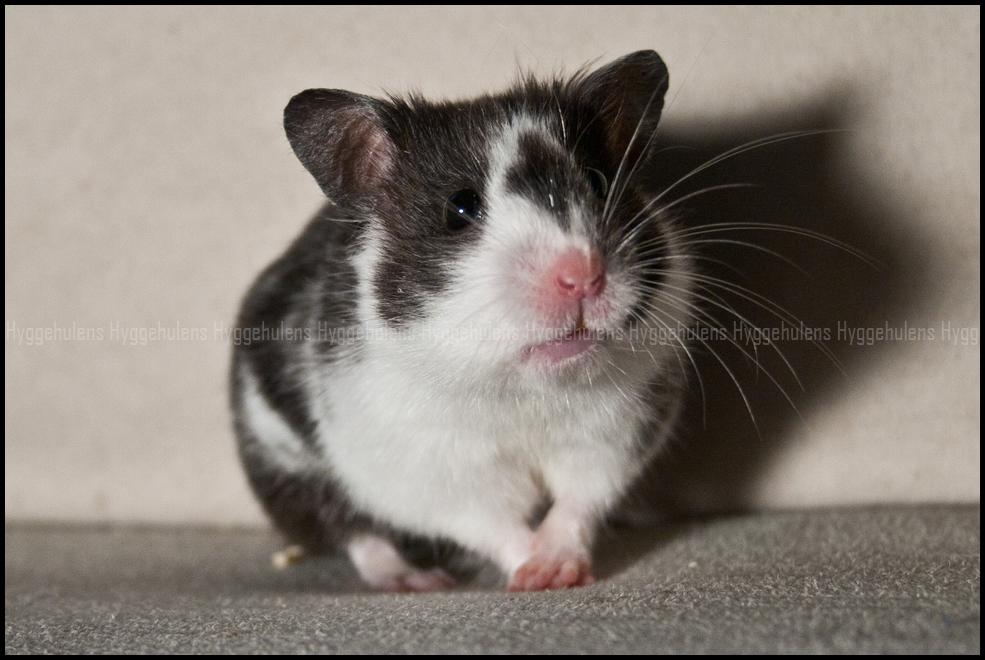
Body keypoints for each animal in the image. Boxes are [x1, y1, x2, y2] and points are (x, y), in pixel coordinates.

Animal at [230, 50, 692, 591]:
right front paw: (533, 574)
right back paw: (416, 580)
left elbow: (579, 501)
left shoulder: (616, 431)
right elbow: (490, 523)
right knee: (352, 530)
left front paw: (559, 570)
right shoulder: (432, 469)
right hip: (288, 471)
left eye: (599, 184)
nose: (581, 276)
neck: (523, 387)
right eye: (460, 208)